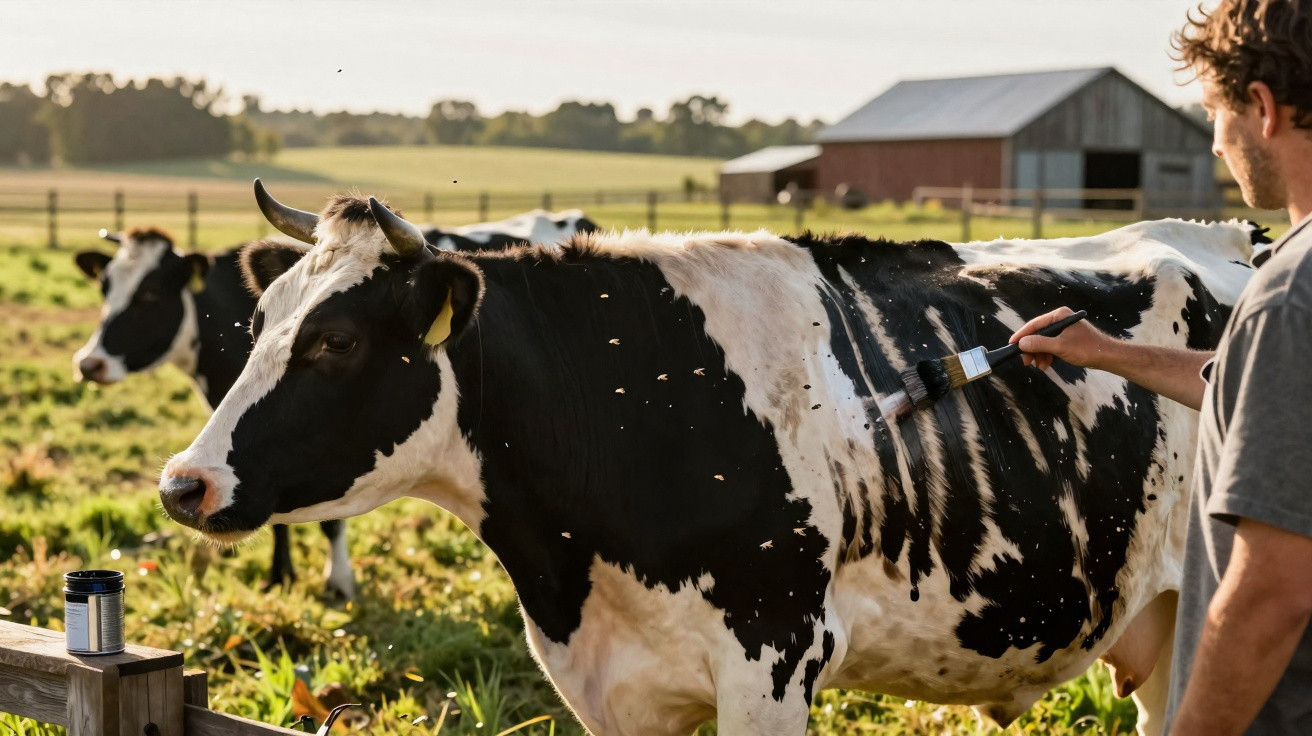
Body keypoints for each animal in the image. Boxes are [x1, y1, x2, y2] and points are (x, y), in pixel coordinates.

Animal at [72, 227, 355, 600]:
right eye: (105, 287)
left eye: (150, 294)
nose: (89, 364)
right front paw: (280, 575)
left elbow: (332, 520)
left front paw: (338, 581)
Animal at [159, 181, 1260, 736]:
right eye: (259, 317)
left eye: (337, 341)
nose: (182, 481)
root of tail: (1224, 234)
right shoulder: (607, 685)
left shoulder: (773, 661)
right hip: (1160, 623)